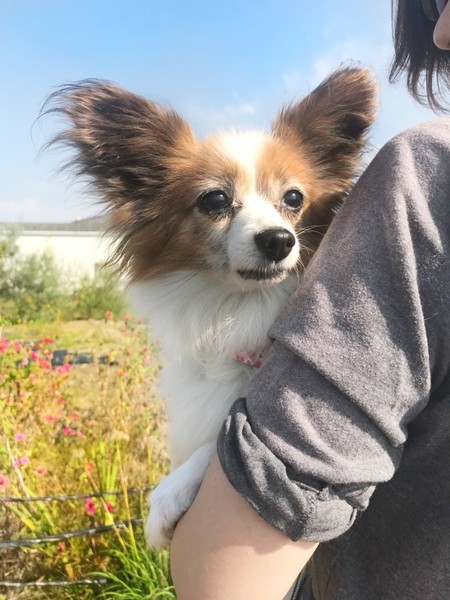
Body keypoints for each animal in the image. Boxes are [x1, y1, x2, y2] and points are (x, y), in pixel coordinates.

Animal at [47, 67, 376, 548]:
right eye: (215, 200)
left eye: (294, 198)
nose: (279, 240)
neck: (239, 308)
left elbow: (220, 440)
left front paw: (167, 497)